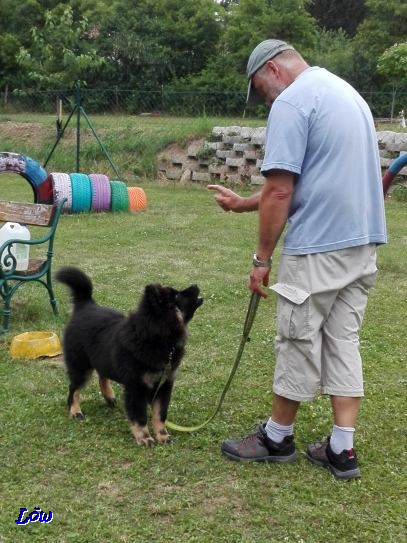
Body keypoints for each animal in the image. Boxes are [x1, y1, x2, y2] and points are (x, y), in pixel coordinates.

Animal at [56, 268, 203, 446]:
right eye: (176, 296)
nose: (195, 284)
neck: (157, 338)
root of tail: (85, 305)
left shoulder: (164, 384)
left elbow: (160, 414)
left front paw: (162, 435)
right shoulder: (136, 387)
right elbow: (139, 416)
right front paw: (144, 437)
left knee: (101, 374)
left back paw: (108, 396)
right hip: (80, 365)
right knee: (74, 388)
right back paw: (75, 411)